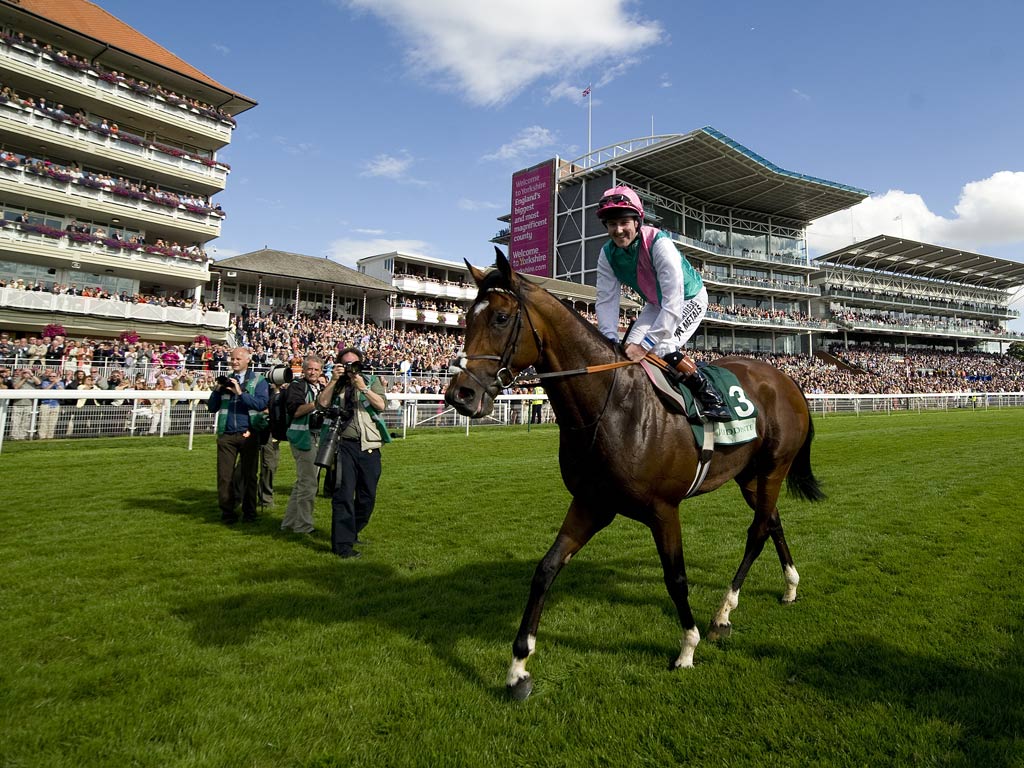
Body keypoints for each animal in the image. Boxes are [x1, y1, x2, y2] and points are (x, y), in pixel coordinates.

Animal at [444, 252, 827, 704]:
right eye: (467, 317)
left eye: (501, 318)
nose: (460, 394)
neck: (609, 406)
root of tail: (788, 381)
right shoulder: (592, 503)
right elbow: (545, 569)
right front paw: (518, 668)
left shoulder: (664, 510)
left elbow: (675, 577)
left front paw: (687, 647)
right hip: (749, 476)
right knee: (772, 522)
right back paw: (789, 587)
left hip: (773, 468)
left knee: (757, 531)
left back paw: (722, 615)